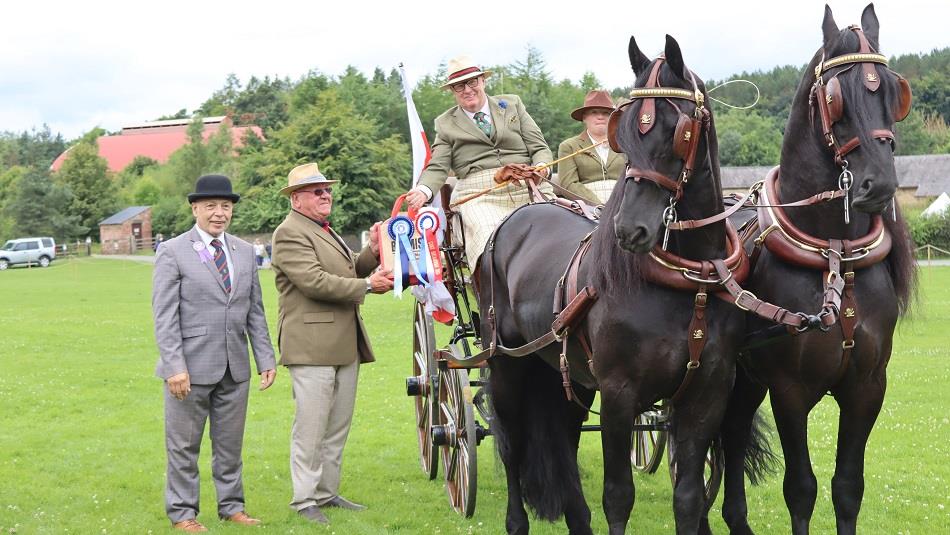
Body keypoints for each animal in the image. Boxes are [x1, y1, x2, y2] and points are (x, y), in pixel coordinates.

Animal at [480, 35, 768, 532]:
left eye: (679, 129)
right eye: (627, 128)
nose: (630, 229)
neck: (687, 285)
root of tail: (518, 215)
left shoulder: (707, 394)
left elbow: (689, 497)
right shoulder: (618, 395)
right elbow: (618, 496)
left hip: (566, 378)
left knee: (562, 441)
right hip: (506, 368)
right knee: (513, 445)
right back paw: (517, 520)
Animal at [720, 5, 924, 535]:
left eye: (894, 91)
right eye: (835, 97)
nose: (878, 185)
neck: (834, 255)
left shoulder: (867, 387)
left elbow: (847, 487)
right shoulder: (790, 390)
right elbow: (801, 488)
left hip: (746, 378)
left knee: (732, 434)